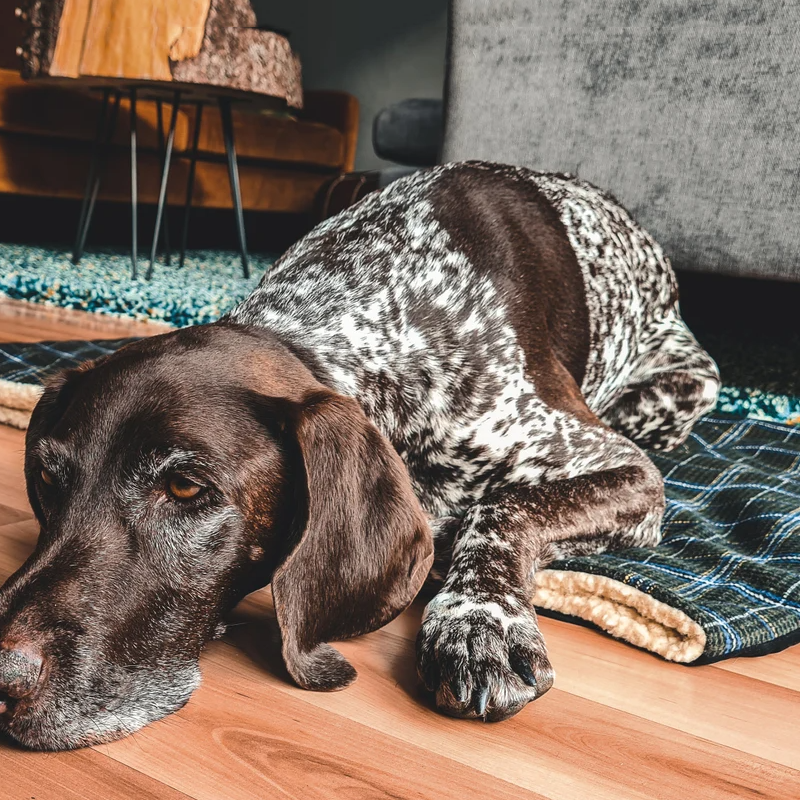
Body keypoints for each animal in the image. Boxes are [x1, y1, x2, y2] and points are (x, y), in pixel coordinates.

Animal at [0, 162, 720, 752]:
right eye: (49, 479)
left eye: (184, 488)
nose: (1, 679)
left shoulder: (627, 471)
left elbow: (505, 508)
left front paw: (478, 619)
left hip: (678, 391)